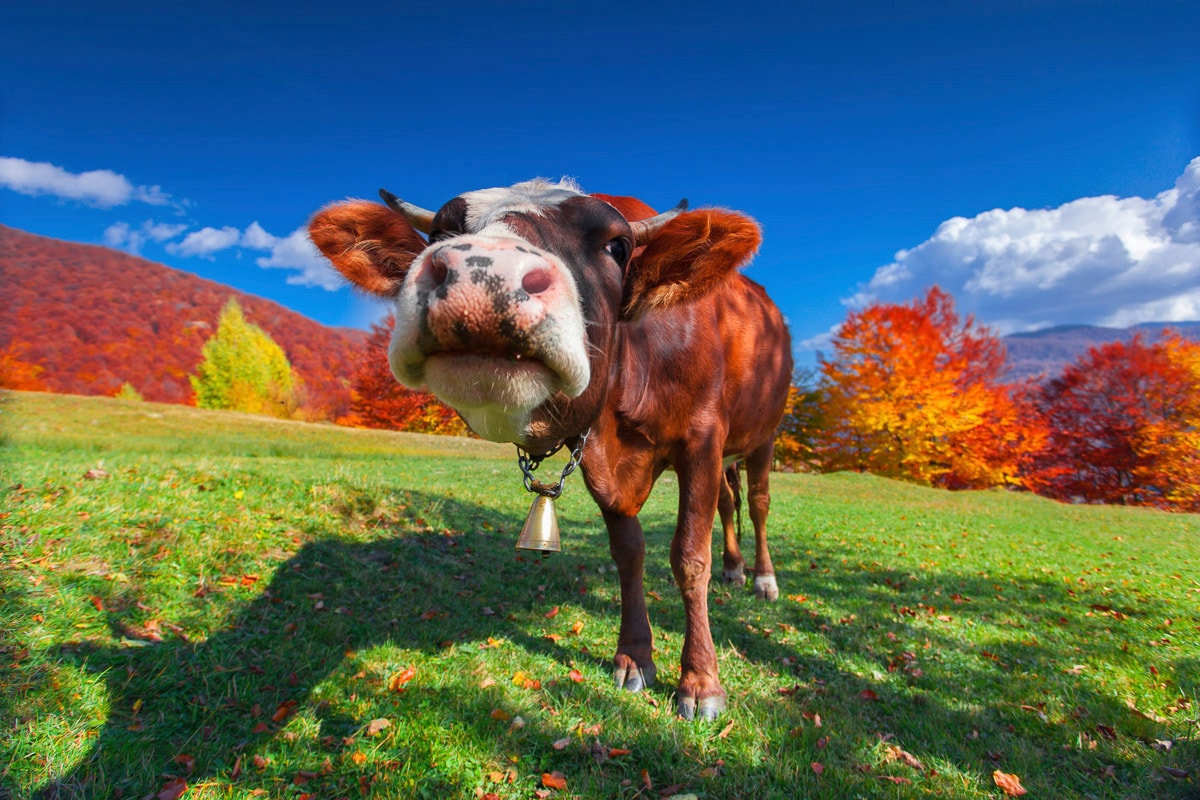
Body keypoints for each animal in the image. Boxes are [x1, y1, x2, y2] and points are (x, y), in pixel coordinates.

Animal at [314, 179, 792, 719]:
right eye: (439, 233)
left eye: (617, 247)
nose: (486, 273)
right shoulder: (601, 466)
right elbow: (629, 553)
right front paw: (634, 656)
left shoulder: (703, 439)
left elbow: (690, 557)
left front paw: (701, 681)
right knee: (730, 503)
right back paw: (735, 568)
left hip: (763, 434)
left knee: (758, 504)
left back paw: (762, 578)